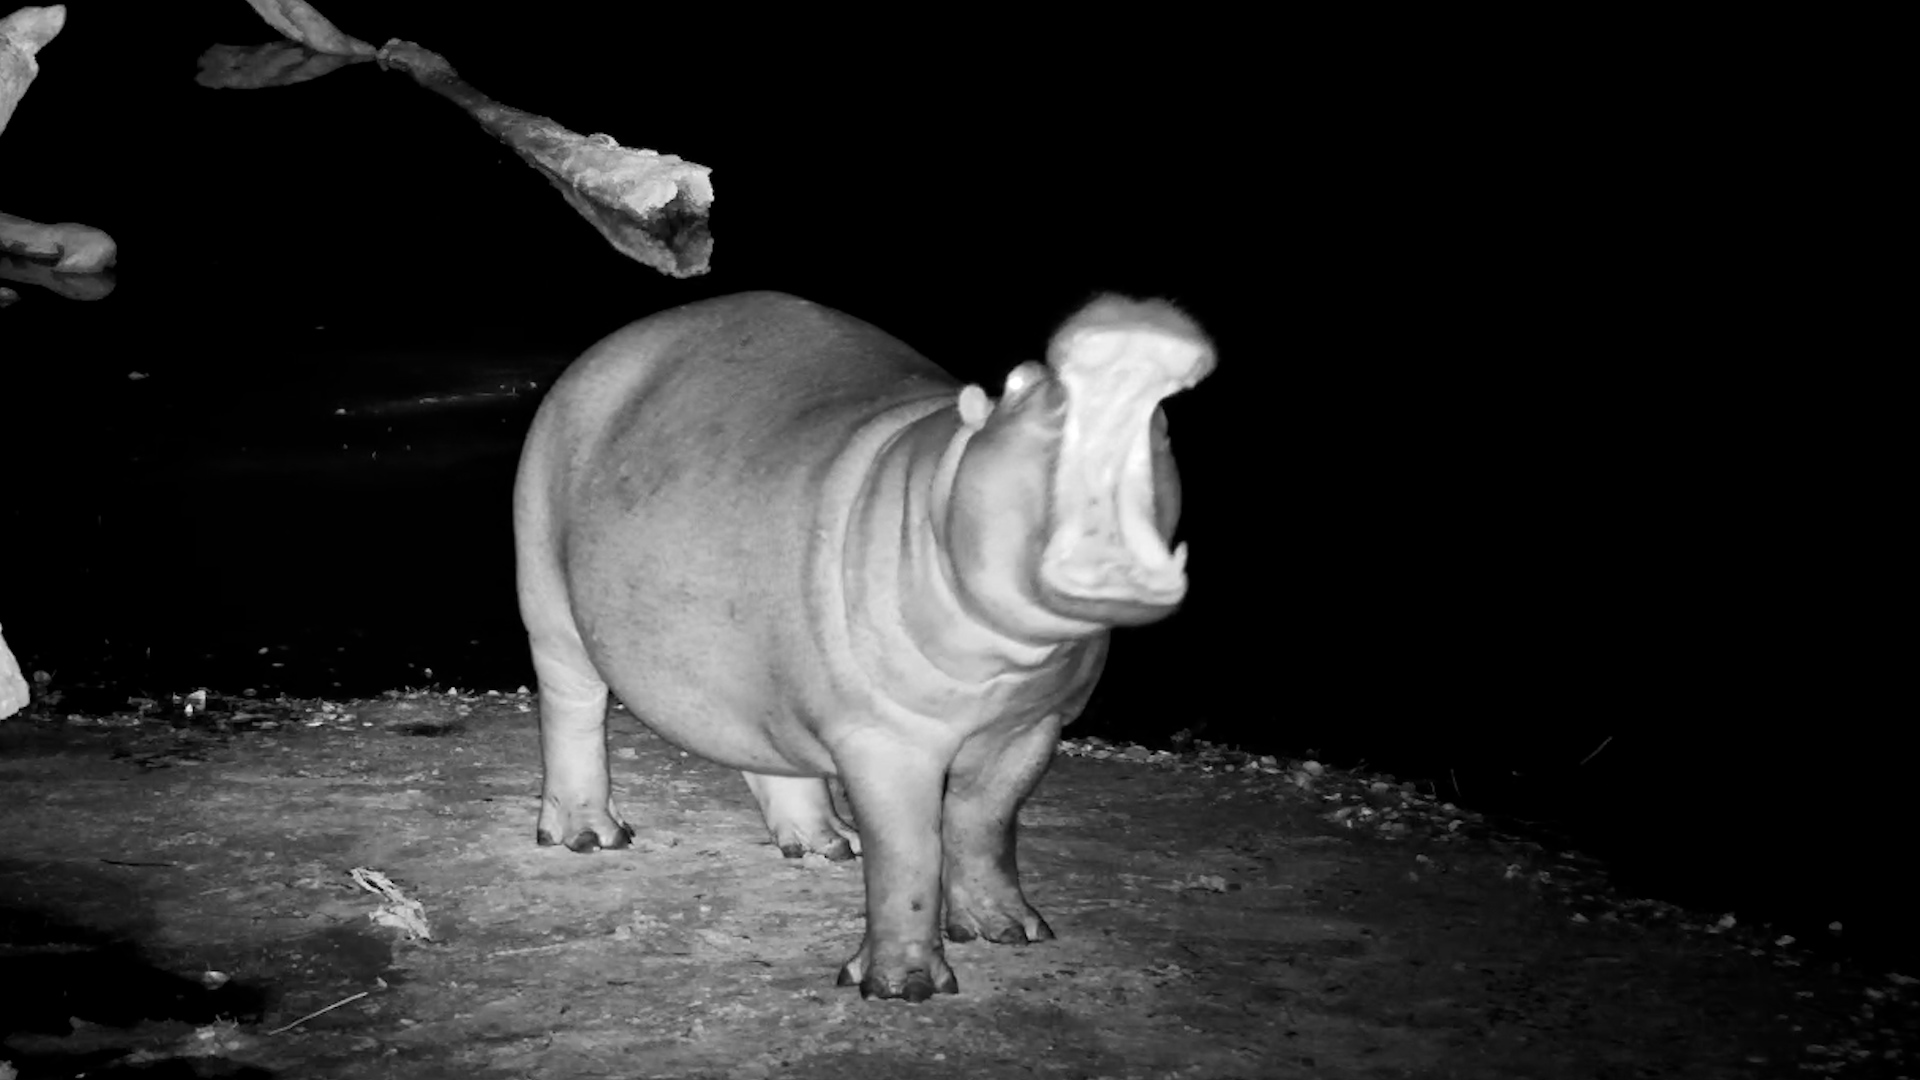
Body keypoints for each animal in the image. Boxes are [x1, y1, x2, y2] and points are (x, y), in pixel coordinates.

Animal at [512, 291, 1213, 1000]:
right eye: (1018, 384)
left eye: (1162, 421)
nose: (1129, 335)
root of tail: (616, 342)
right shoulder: (885, 740)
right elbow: (909, 850)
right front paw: (903, 987)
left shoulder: (1032, 724)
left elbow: (986, 821)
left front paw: (1009, 930)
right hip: (549, 598)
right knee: (573, 708)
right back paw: (590, 836)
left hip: (752, 662)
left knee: (765, 747)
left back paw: (824, 843)